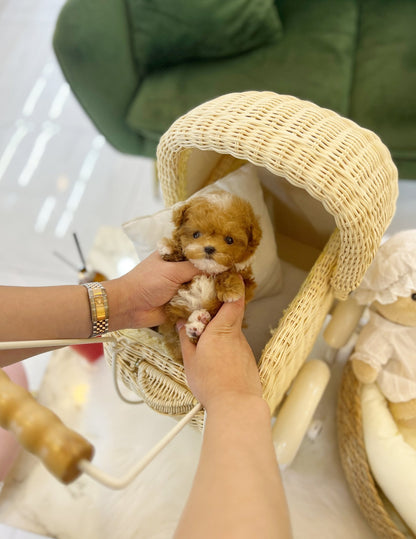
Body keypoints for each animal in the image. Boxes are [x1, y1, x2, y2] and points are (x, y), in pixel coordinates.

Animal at [158, 190, 262, 354]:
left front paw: (231, 291)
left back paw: (198, 323)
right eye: (196, 235)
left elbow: (231, 272)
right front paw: (169, 247)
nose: (209, 248)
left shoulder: (247, 283)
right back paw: (196, 325)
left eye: (229, 240)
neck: (207, 269)